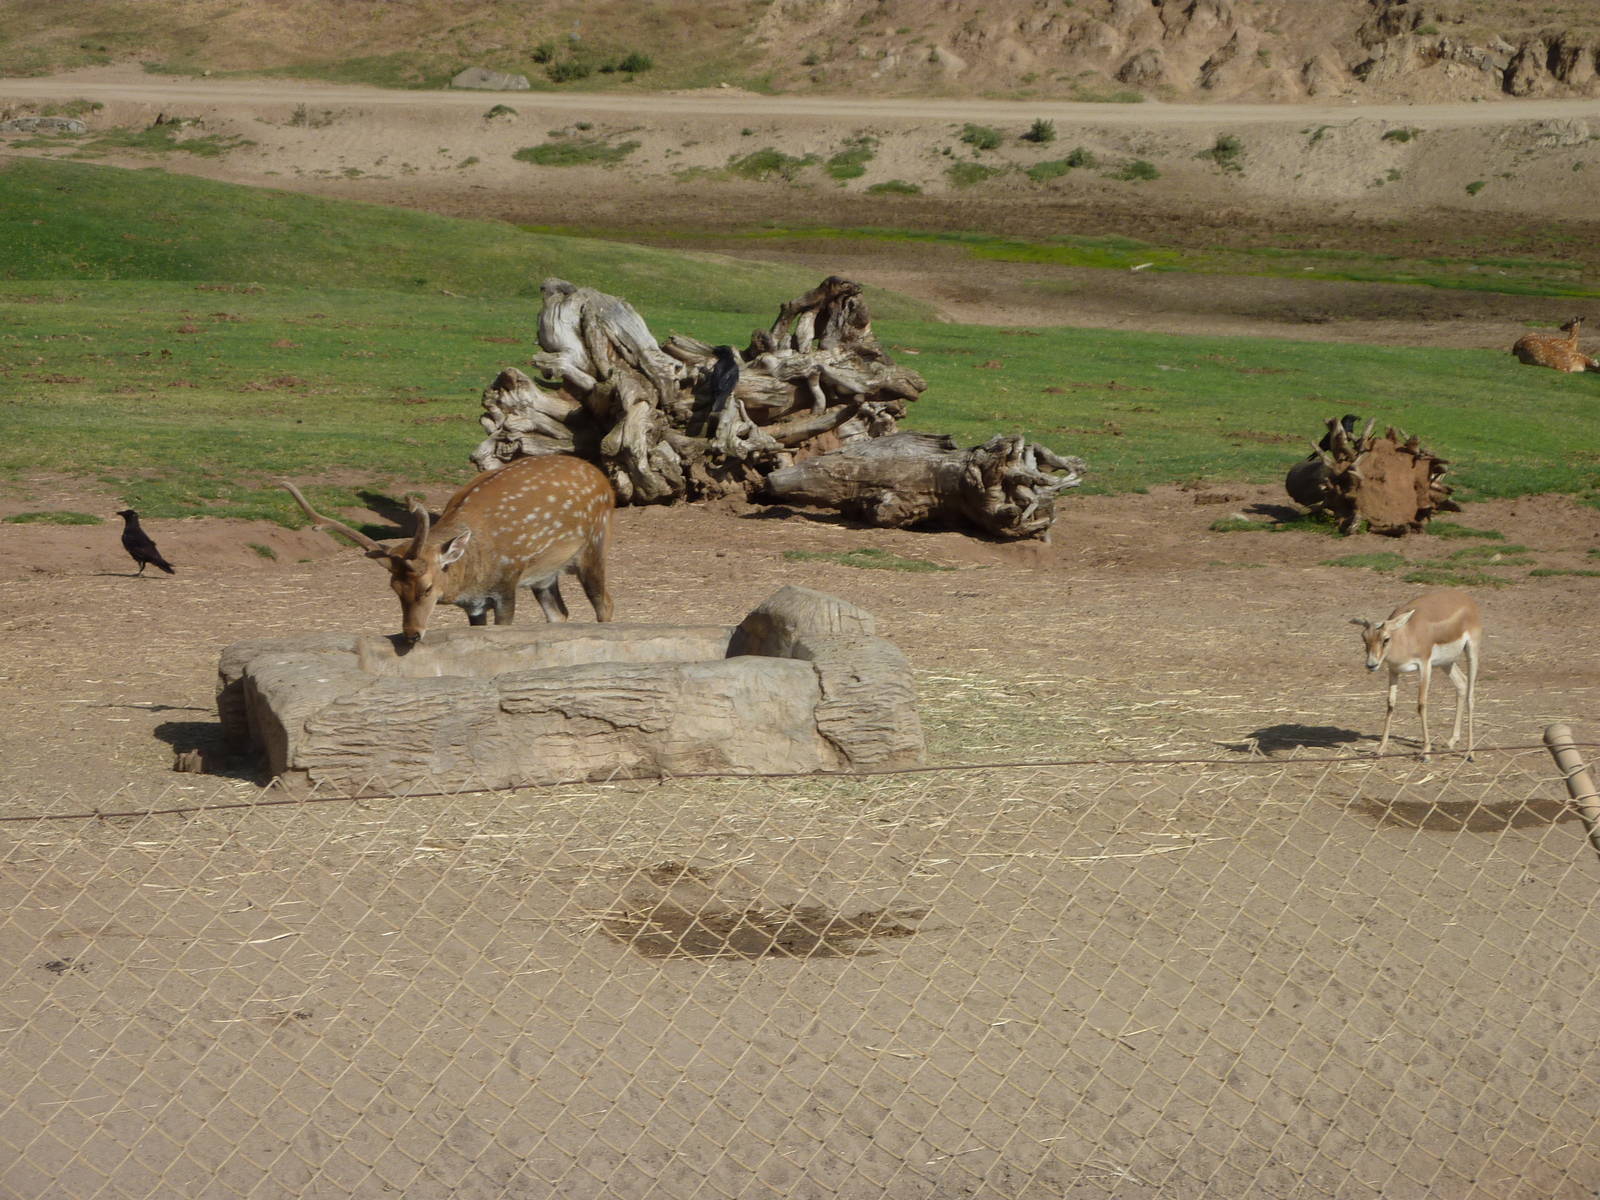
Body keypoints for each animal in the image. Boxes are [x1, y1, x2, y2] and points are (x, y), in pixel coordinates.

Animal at [281, 454, 615, 646]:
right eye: (394, 589)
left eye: (428, 588)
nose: (412, 634)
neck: (473, 571)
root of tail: (603, 479)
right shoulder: (475, 604)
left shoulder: (506, 585)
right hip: (545, 575)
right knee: (560, 614)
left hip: (594, 542)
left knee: (605, 603)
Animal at [1350, 589, 1482, 761]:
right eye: (1364, 638)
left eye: (1386, 639)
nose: (1371, 664)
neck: (1406, 634)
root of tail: (1467, 599)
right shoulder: (1393, 670)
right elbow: (1390, 703)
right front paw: (1380, 748)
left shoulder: (1425, 665)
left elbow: (1421, 704)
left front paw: (1426, 752)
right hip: (1446, 662)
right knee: (1461, 683)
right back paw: (1452, 741)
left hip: (1471, 650)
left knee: (1471, 696)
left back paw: (1470, 752)